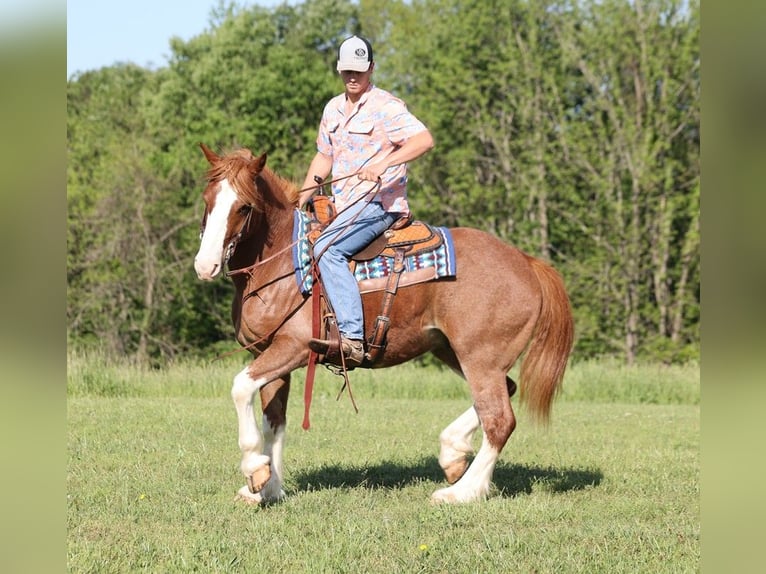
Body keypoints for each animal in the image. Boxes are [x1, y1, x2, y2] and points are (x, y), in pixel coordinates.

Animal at [195, 143, 572, 504]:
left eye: (244, 207)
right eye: (208, 200)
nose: (205, 265)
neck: (284, 265)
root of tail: (527, 262)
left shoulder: (295, 347)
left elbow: (240, 388)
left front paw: (254, 470)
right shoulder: (268, 354)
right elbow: (273, 422)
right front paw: (267, 489)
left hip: (480, 357)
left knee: (499, 418)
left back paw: (461, 492)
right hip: (456, 351)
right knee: (504, 393)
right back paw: (453, 453)